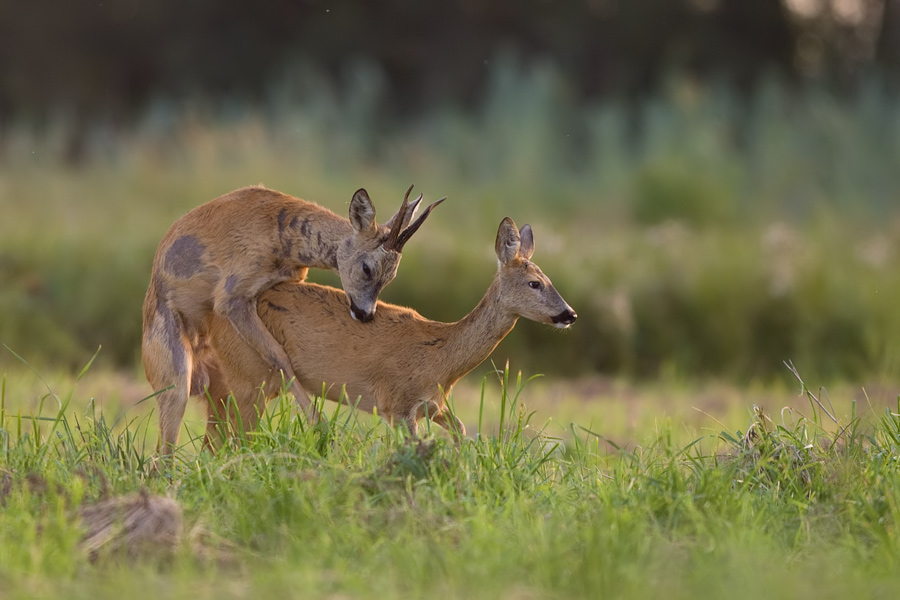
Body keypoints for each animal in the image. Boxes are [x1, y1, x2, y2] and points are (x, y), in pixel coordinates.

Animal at [142, 184, 446, 454]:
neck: (281, 232)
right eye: (367, 268)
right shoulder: (232, 301)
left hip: (220, 395)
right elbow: (281, 358)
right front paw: (320, 426)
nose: (365, 314)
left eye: (391, 275)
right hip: (177, 387)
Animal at [200, 216, 576, 446]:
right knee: (236, 438)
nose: (569, 314)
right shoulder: (396, 404)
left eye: (549, 279)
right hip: (249, 377)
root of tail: (212, 315)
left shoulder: (431, 405)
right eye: (535, 283)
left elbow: (461, 430)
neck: (442, 357)